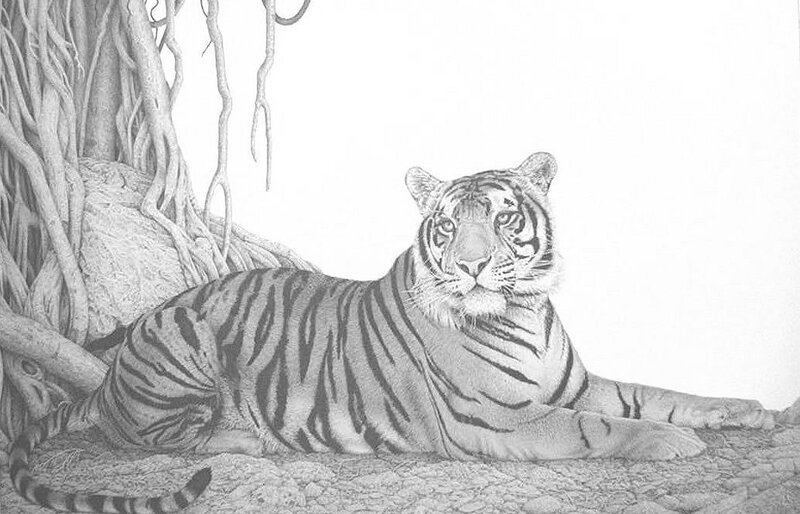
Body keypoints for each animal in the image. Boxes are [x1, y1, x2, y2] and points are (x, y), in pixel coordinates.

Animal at [9, 151, 775, 513]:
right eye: (449, 224)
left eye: (503, 217)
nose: (471, 265)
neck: (525, 309)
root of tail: (109, 373)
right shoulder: (499, 418)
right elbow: (601, 426)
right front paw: (674, 444)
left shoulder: (577, 384)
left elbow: (660, 393)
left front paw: (744, 409)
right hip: (185, 340)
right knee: (145, 436)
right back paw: (244, 438)